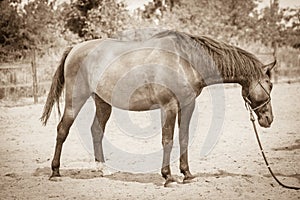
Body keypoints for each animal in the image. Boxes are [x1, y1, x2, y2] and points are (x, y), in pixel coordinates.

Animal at [41, 30, 276, 186]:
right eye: (270, 84)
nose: (269, 119)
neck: (186, 60)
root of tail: (75, 49)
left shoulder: (187, 105)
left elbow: (184, 138)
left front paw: (187, 174)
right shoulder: (168, 106)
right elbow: (167, 140)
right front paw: (168, 177)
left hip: (102, 102)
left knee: (96, 130)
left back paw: (103, 169)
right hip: (75, 99)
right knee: (62, 129)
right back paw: (55, 172)